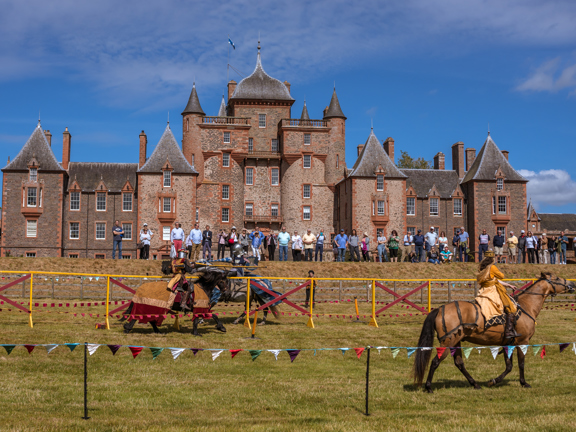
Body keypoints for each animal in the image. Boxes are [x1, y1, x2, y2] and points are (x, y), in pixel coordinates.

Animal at [412, 274, 572, 392]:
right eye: (557, 279)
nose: (572, 285)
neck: (527, 306)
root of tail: (439, 309)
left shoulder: (508, 343)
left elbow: (509, 366)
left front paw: (493, 381)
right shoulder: (523, 342)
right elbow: (520, 364)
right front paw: (523, 383)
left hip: (456, 342)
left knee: (459, 363)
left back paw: (475, 384)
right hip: (448, 342)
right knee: (435, 361)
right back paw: (428, 387)